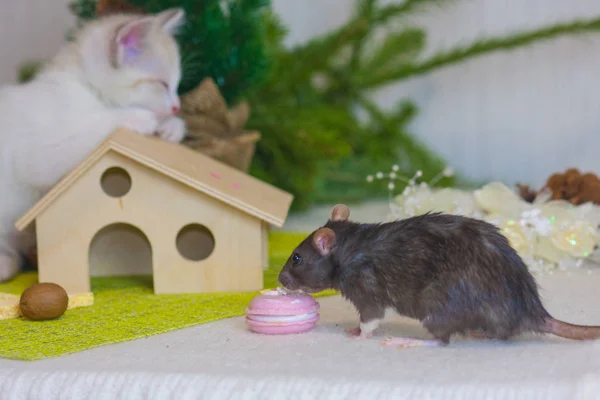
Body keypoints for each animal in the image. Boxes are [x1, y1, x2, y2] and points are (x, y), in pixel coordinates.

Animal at [0, 7, 188, 282]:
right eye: (163, 84)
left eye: (176, 86)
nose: (177, 106)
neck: (87, 89)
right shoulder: (37, 153)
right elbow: (93, 126)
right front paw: (139, 118)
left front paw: (173, 127)